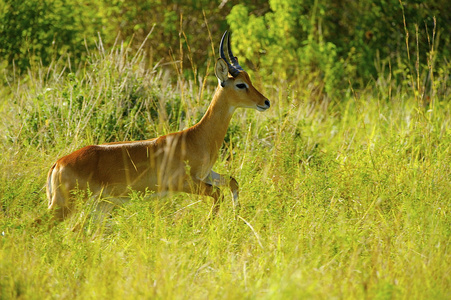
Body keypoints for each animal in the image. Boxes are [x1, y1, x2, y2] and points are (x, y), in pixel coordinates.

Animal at [46, 31, 272, 223]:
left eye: (248, 79)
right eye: (240, 84)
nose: (266, 102)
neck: (196, 137)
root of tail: (58, 163)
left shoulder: (206, 174)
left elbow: (233, 181)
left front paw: (237, 216)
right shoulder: (185, 182)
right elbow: (218, 194)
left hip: (99, 206)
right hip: (65, 205)